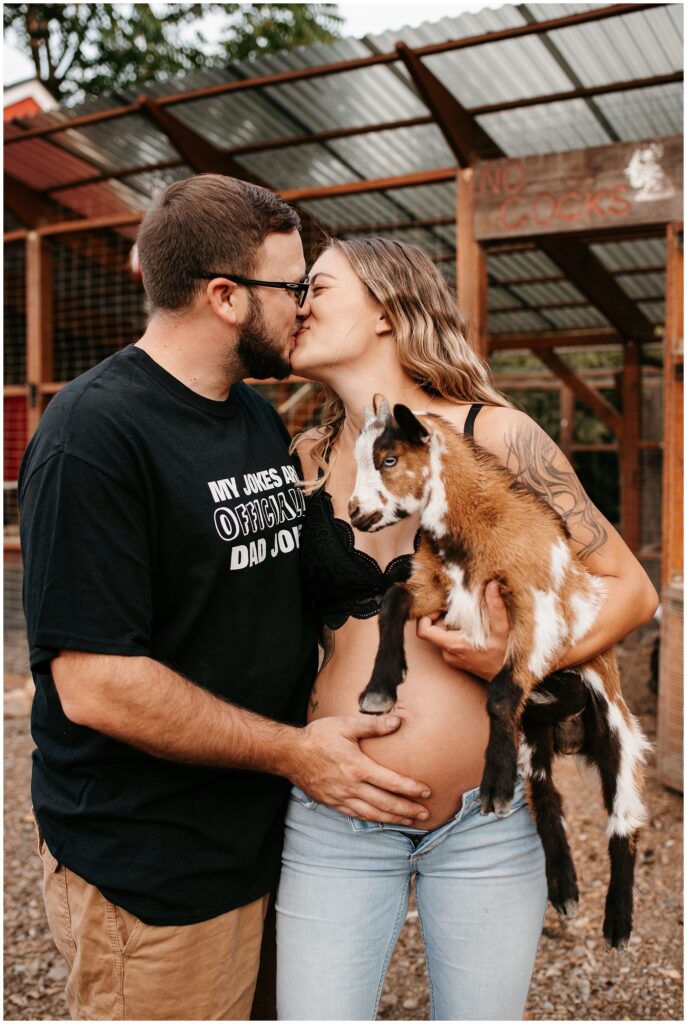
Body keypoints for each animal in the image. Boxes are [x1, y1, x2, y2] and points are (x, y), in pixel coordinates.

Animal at [350, 395, 651, 946]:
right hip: (535, 742)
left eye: (388, 459)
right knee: (547, 800)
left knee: (624, 822)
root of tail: (572, 734)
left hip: (619, 731)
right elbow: (394, 600)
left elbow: (502, 689)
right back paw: (564, 890)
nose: (357, 512)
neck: (476, 530)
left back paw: (617, 922)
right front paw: (380, 689)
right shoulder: (443, 594)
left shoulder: (536, 610)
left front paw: (491, 786)